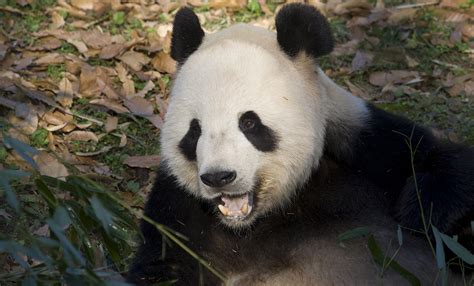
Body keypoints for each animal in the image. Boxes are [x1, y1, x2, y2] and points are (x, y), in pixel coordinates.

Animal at [127, 3, 474, 284]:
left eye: (249, 123)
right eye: (195, 131)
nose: (218, 177)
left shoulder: (365, 145)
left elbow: (438, 164)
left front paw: (423, 211)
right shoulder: (179, 208)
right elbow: (163, 266)